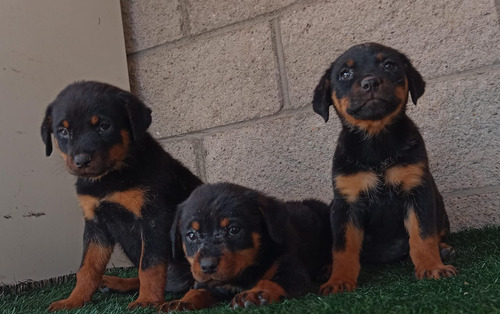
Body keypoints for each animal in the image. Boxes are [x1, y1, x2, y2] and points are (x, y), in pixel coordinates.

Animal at [40, 81, 202, 312]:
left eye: (104, 126)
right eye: (62, 131)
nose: (81, 161)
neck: (109, 179)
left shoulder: (154, 219)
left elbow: (150, 265)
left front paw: (147, 301)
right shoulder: (96, 225)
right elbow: (87, 268)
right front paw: (73, 300)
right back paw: (114, 283)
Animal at [160, 182, 332, 312]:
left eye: (234, 230)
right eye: (191, 235)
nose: (207, 266)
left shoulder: (291, 270)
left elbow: (270, 281)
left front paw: (253, 295)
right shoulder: (208, 283)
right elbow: (197, 290)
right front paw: (180, 302)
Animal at [312, 42, 458, 294]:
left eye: (389, 65)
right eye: (345, 74)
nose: (370, 82)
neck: (376, 140)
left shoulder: (418, 191)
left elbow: (423, 235)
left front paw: (432, 267)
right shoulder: (346, 203)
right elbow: (342, 248)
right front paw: (339, 280)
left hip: (439, 203)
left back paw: (443, 249)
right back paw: (327, 269)